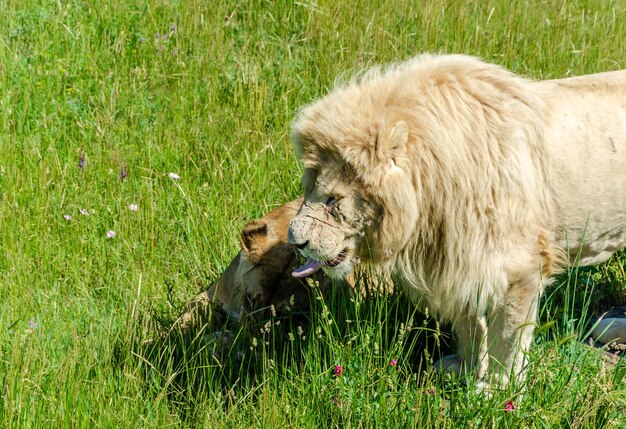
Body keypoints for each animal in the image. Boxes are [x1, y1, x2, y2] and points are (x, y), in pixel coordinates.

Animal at [286, 53, 624, 388]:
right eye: (307, 190)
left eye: (333, 200)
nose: (296, 242)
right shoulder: (456, 258)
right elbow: (469, 326)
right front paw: (466, 369)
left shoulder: (520, 268)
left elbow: (508, 339)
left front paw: (498, 389)